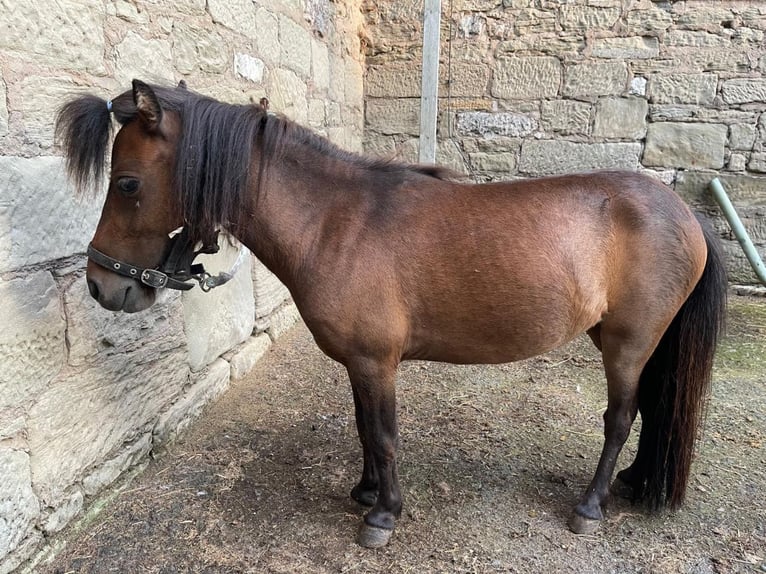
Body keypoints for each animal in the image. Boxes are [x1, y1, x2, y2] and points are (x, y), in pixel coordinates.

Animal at [55, 80, 727, 548]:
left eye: (128, 183)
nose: (99, 285)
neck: (336, 223)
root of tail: (687, 214)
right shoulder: (360, 363)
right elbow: (364, 429)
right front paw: (365, 491)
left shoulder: (377, 362)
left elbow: (383, 433)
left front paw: (383, 514)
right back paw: (633, 482)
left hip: (628, 342)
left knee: (620, 418)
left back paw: (590, 505)